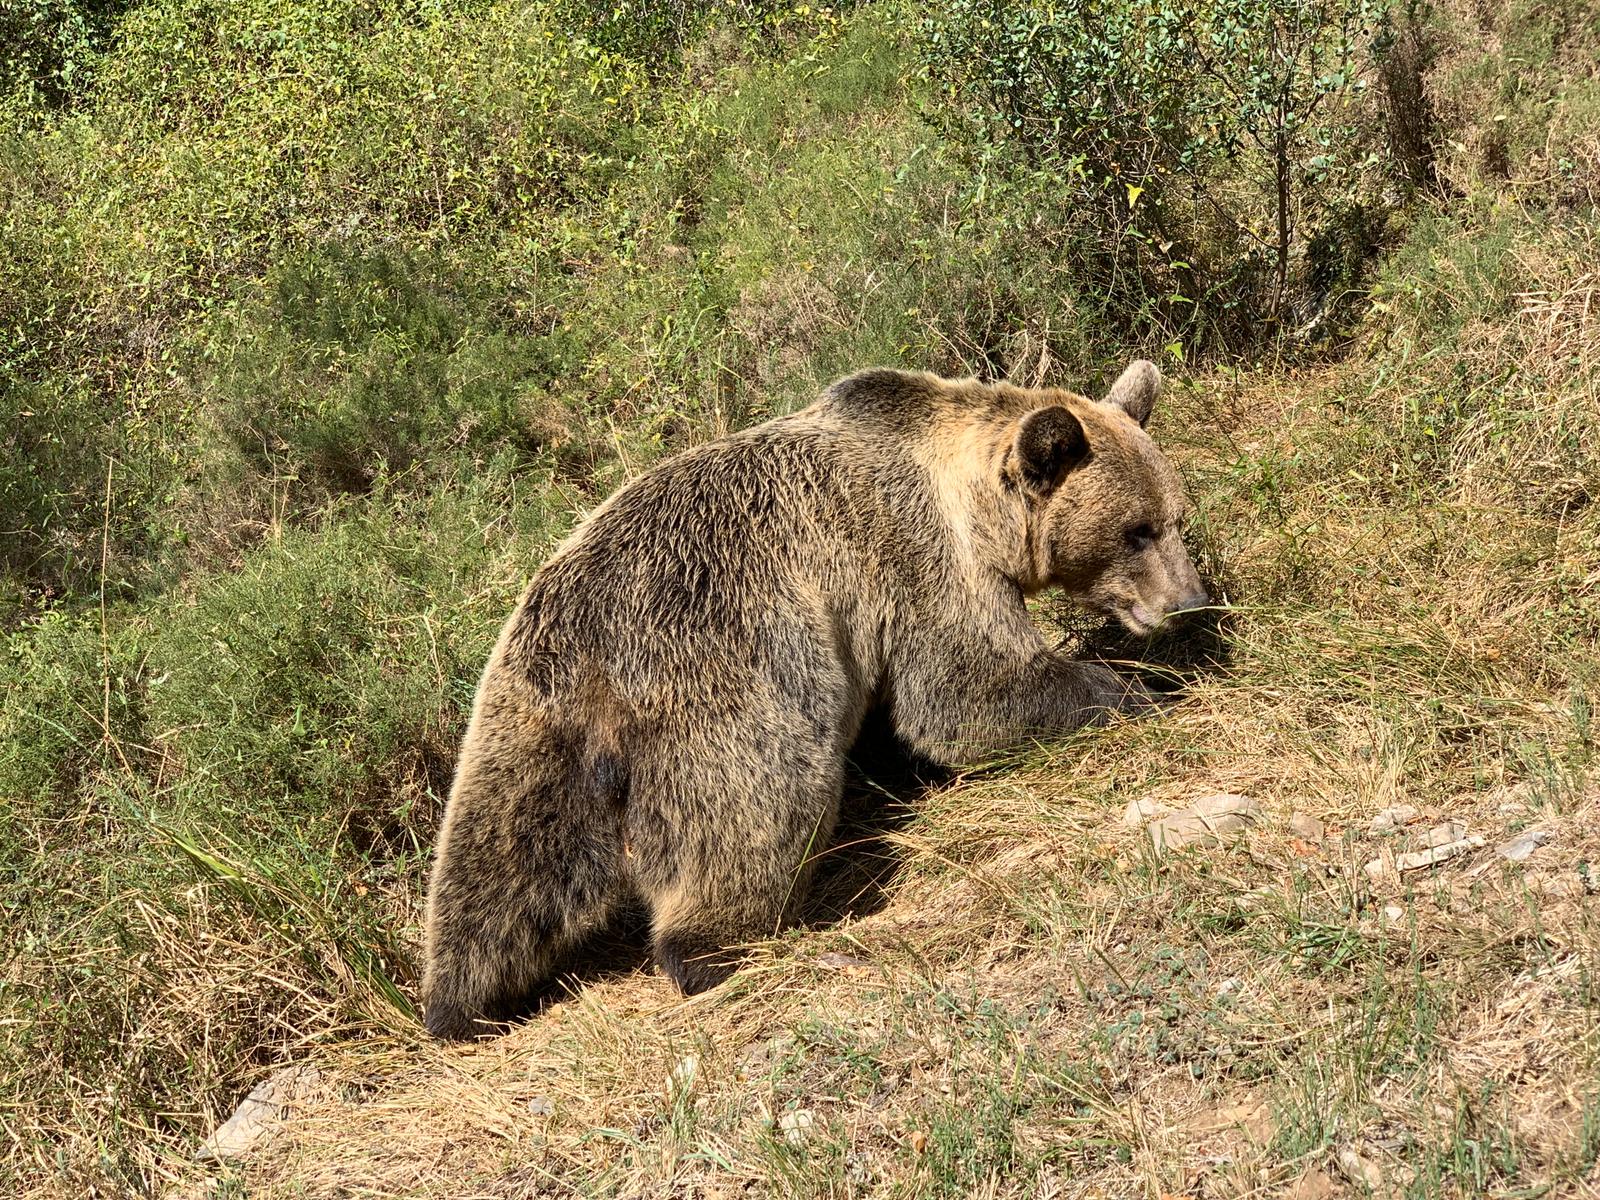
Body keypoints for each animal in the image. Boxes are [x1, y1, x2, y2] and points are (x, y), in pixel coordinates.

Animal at [419, 360, 1203, 1043]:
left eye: (1176, 516)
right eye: (1135, 530)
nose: (1190, 602)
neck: (969, 498)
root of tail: (601, 667)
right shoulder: (914, 556)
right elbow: (965, 692)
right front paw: (1138, 687)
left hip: (525, 710)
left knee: (496, 861)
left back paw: (458, 1003)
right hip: (732, 681)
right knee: (759, 808)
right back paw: (721, 947)